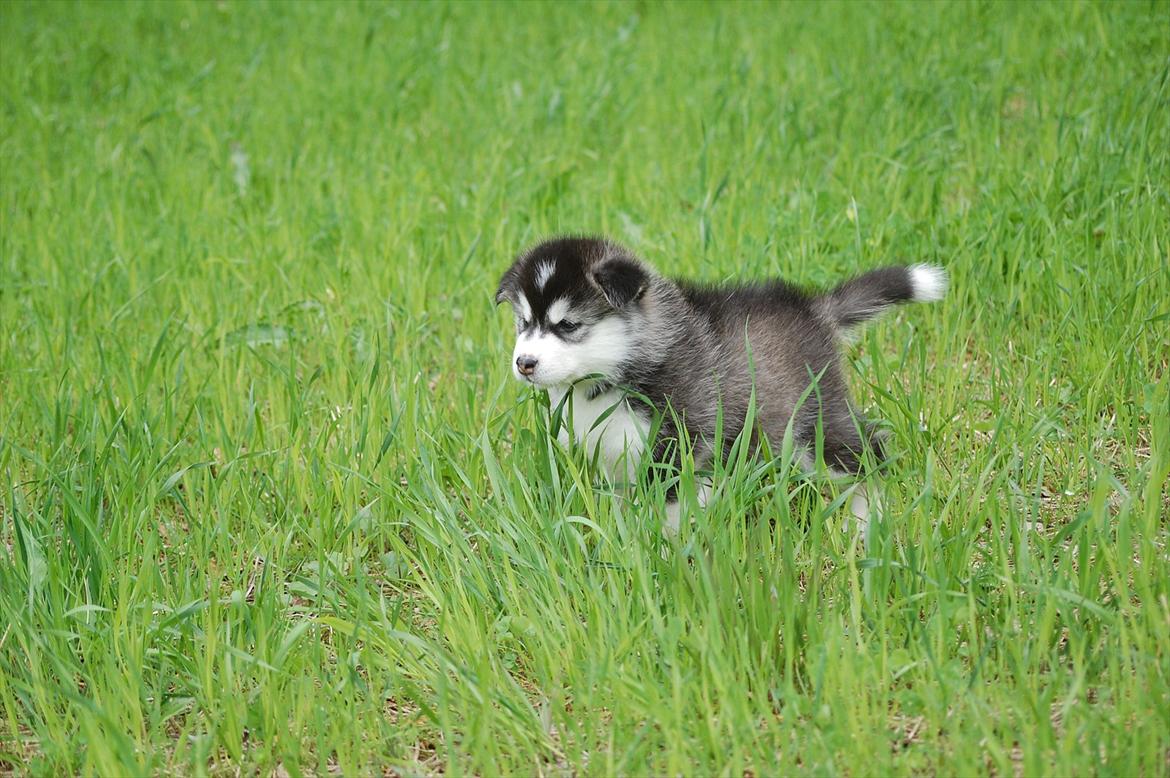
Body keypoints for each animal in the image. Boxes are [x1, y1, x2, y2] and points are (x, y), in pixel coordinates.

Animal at [491, 233, 940, 531]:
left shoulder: (681, 443)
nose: (524, 363)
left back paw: (868, 520)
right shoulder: (612, 455)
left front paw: (665, 547)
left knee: (868, 453)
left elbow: (671, 504)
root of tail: (813, 308)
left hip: (815, 422)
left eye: (567, 325)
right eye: (523, 322)